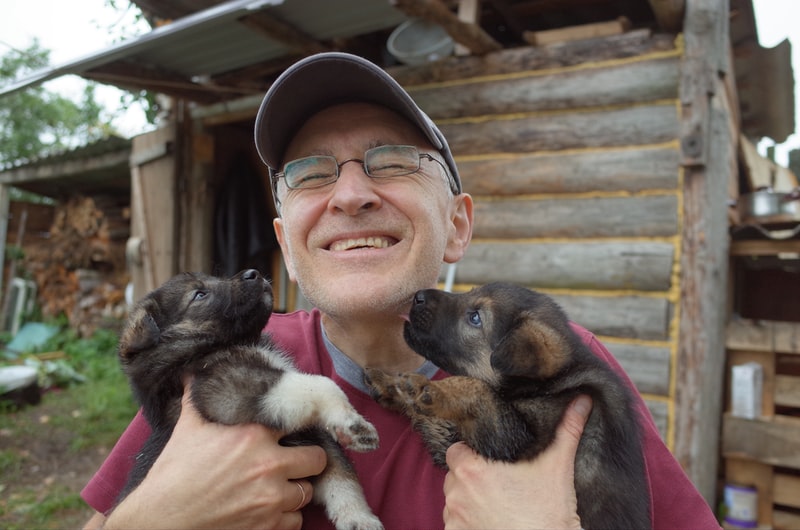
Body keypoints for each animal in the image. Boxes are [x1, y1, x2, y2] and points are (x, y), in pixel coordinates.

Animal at [115, 268, 384, 528]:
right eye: (199, 294)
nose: (254, 273)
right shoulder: (229, 391)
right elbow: (320, 384)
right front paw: (352, 423)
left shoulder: (314, 437)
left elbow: (341, 475)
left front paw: (358, 517)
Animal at [366, 282, 652, 524]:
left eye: (475, 317)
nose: (418, 296)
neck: (550, 383)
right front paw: (392, 383)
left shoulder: (517, 437)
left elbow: (476, 387)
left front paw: (429, 388)